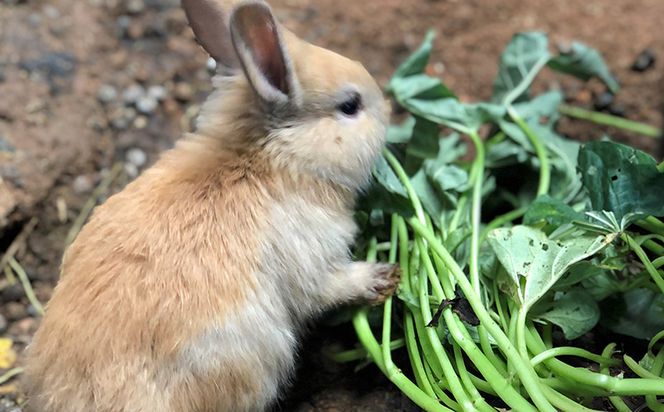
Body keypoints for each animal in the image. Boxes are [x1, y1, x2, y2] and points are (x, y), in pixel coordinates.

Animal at [22, 0, 400, 412]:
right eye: (350, 106)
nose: (389, 108)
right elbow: (332, 286)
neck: (266, 159)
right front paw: (383, 277)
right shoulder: (313, 263)